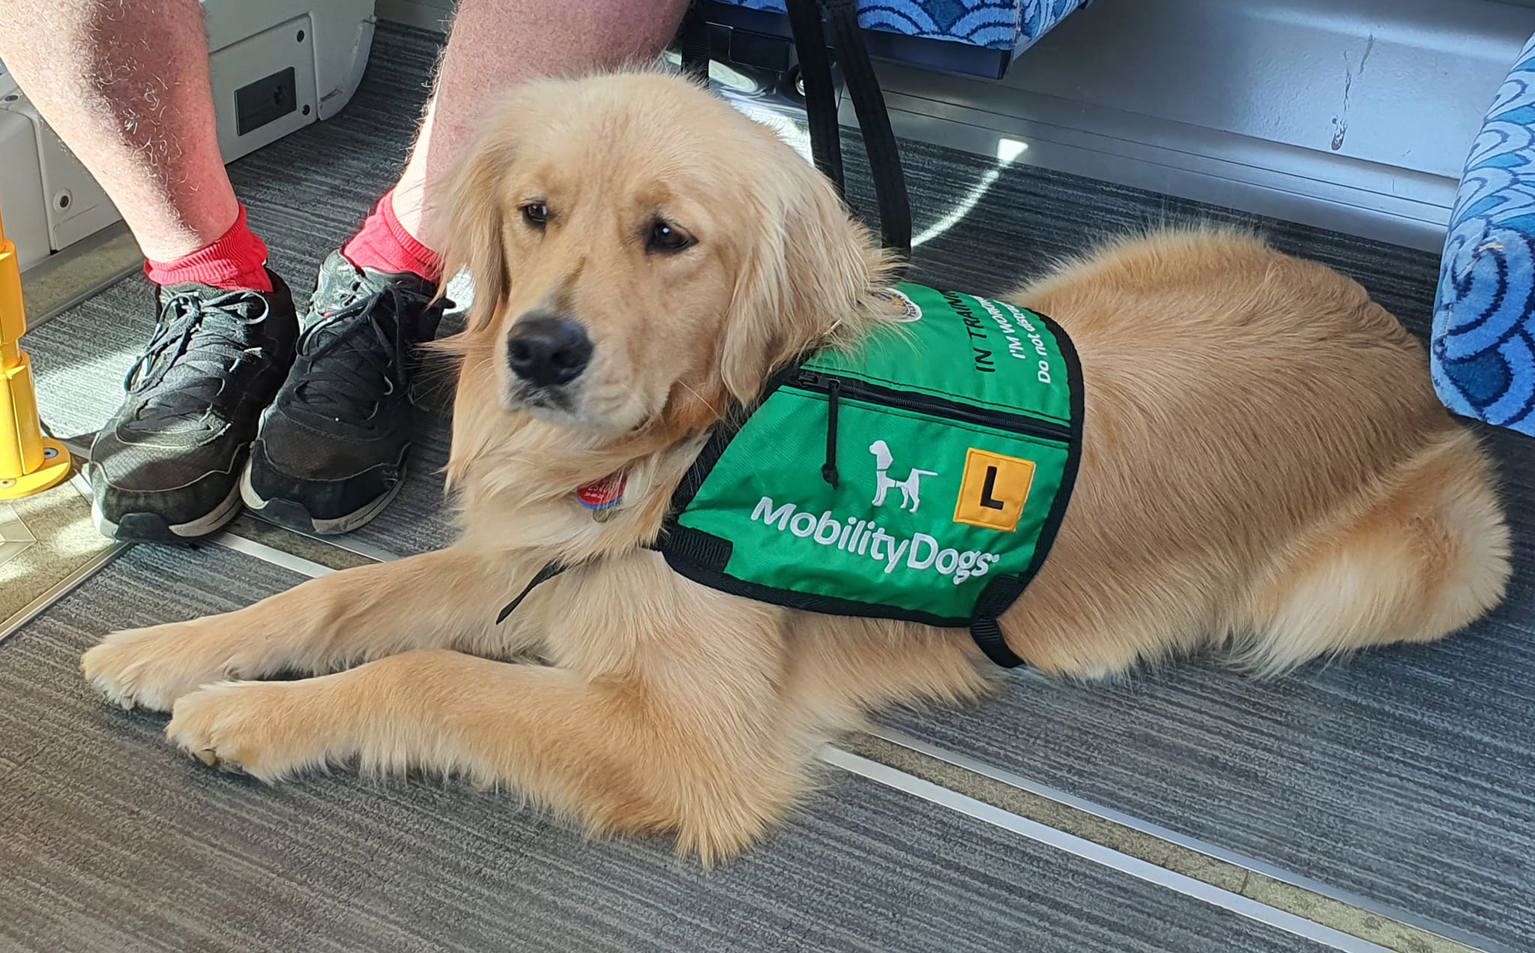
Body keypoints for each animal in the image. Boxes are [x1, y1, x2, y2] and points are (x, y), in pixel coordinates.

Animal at [84, 70, 1510, 859]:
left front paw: (248, 715)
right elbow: (337, 595)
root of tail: (1396, 340)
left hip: (1391, 574)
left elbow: (427, 673)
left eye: (668, 236)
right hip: (1086, 281)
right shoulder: (541, 558)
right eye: (533, 213)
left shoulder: (684, 738)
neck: (679, 444)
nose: (536, 350)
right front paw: (177, 649)